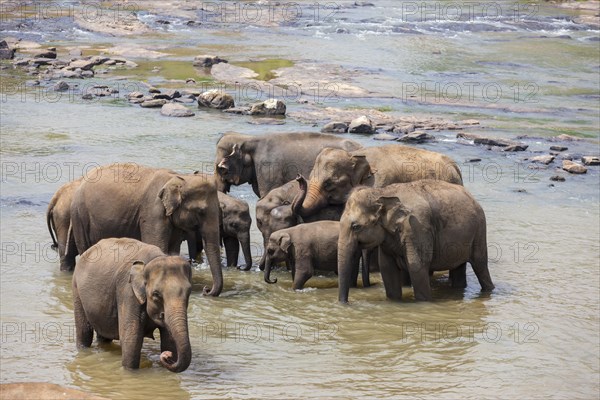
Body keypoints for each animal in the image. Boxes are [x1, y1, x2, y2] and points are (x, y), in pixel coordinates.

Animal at [69, 163, 221, 296]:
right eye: (201, 212)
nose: (206, 290)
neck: (180, 178)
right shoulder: (153, 212)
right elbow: (157, 245)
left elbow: (173, 250)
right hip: (79, 215)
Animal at [72, 238, 195, 372]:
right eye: (156, 294)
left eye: (189, 292)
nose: (167, 356)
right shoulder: (127, 292)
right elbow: (131, 340)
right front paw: (130, 372)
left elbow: (169, 341)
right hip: (77, 289)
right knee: (84, 332)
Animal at [336, 180, 494, 302]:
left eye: (356, 227)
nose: (345, 303)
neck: (383, 192)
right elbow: (387, 268)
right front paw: (394, 301)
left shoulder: (417, 227)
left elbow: (416, 266)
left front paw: (424, 303)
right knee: (459, 267)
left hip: (480, 229)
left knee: (480, 264)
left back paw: (488, 290)